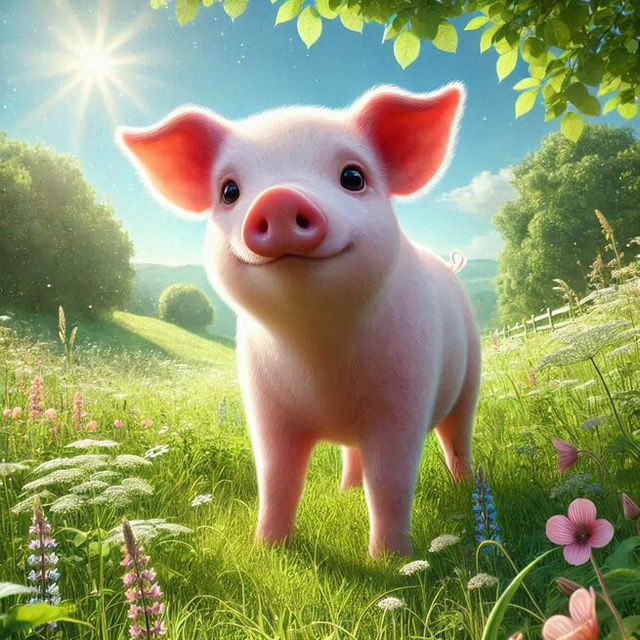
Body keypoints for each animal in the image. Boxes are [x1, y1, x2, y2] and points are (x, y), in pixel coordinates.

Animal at [117, 84, 480, 557]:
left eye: (353, 177)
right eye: (229, 191)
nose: (279, 197)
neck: (317, 352)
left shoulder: (405, 397)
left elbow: (391, 482)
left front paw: (393, 559)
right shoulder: (265, 404)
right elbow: (277, 478)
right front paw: (267, 548)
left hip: (471, 374)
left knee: (458, 436)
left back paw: (466, 488)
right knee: (354, 456)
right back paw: (347, 491)